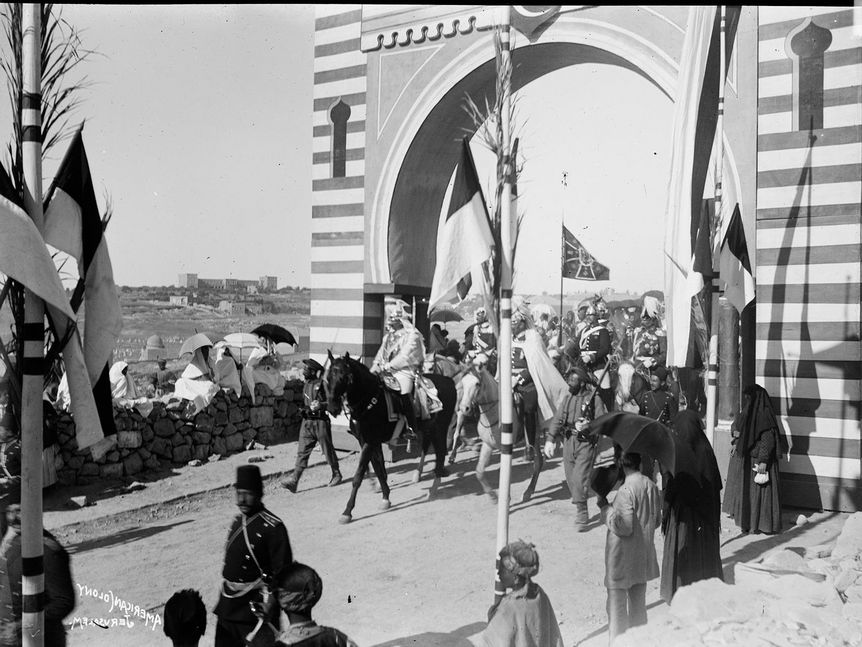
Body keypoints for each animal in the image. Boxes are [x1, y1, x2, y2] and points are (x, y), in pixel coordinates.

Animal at [324, 352, 460, 524]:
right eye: (328, 377)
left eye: (345, 377)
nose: (332, 408)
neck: (371, 401)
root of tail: (449, 380)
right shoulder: (368, 442)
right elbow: (379, 470)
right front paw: (385, 498)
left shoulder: (369, 442)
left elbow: (358, 476)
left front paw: (347, 512)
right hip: (429, 428)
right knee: (431, 449)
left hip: (440, 428)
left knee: (441, 452)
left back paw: (434, 488)